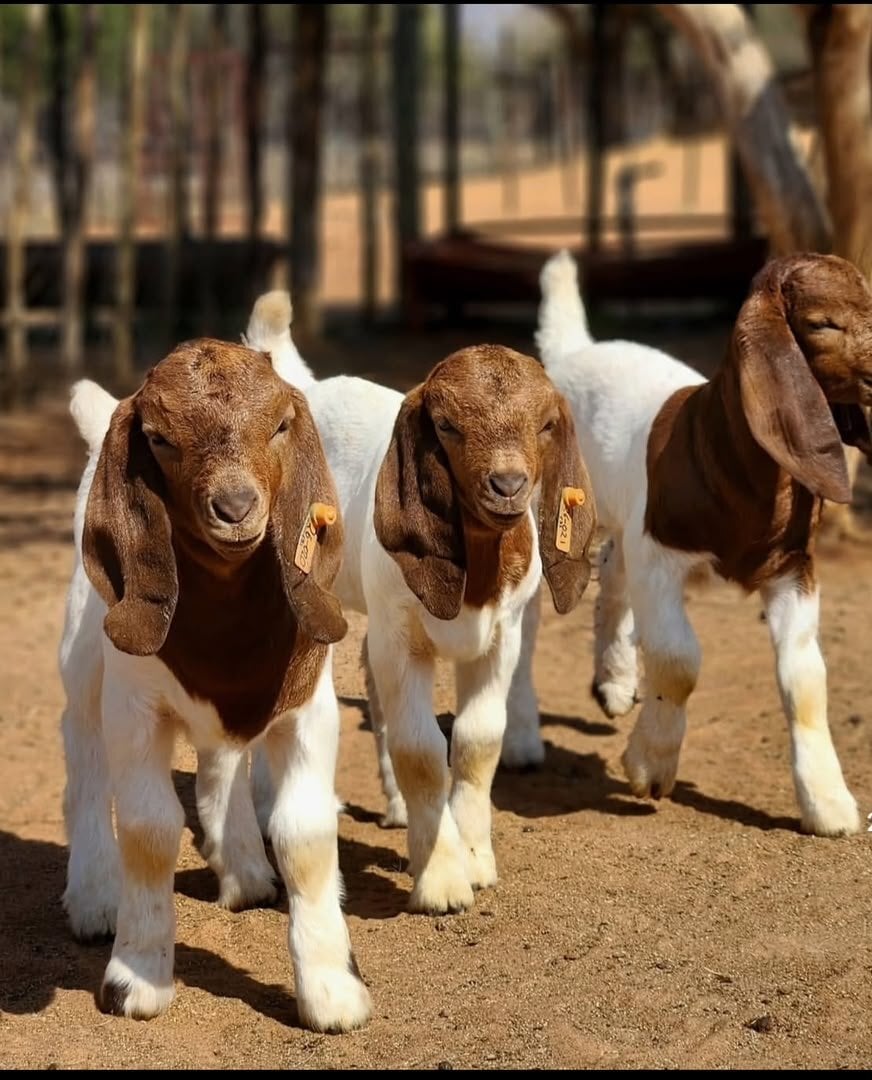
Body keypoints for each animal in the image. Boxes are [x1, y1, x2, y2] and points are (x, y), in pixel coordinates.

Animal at [58, 340, 371, 1031]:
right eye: (159, 438)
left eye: (279, 425)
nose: (235, 507)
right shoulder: (134, 707)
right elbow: (148, 829)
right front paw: (137, 979)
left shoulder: (308, 706)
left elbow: (305, 833)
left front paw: (332, 991)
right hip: (84, 663)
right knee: (85, 758)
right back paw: (94, 898)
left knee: (221, 761)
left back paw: (245, 868)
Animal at [507, 249, 872, 837]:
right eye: (822, 324)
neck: (719, 451)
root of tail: (576, 352)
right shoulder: (661, 557)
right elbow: (679, 661)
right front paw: (649, 768)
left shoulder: (792, 566)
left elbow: (805, 677)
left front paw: (828, 805)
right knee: (528, 624)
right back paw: (521, 741)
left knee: (612, 573)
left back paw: (614, 682)